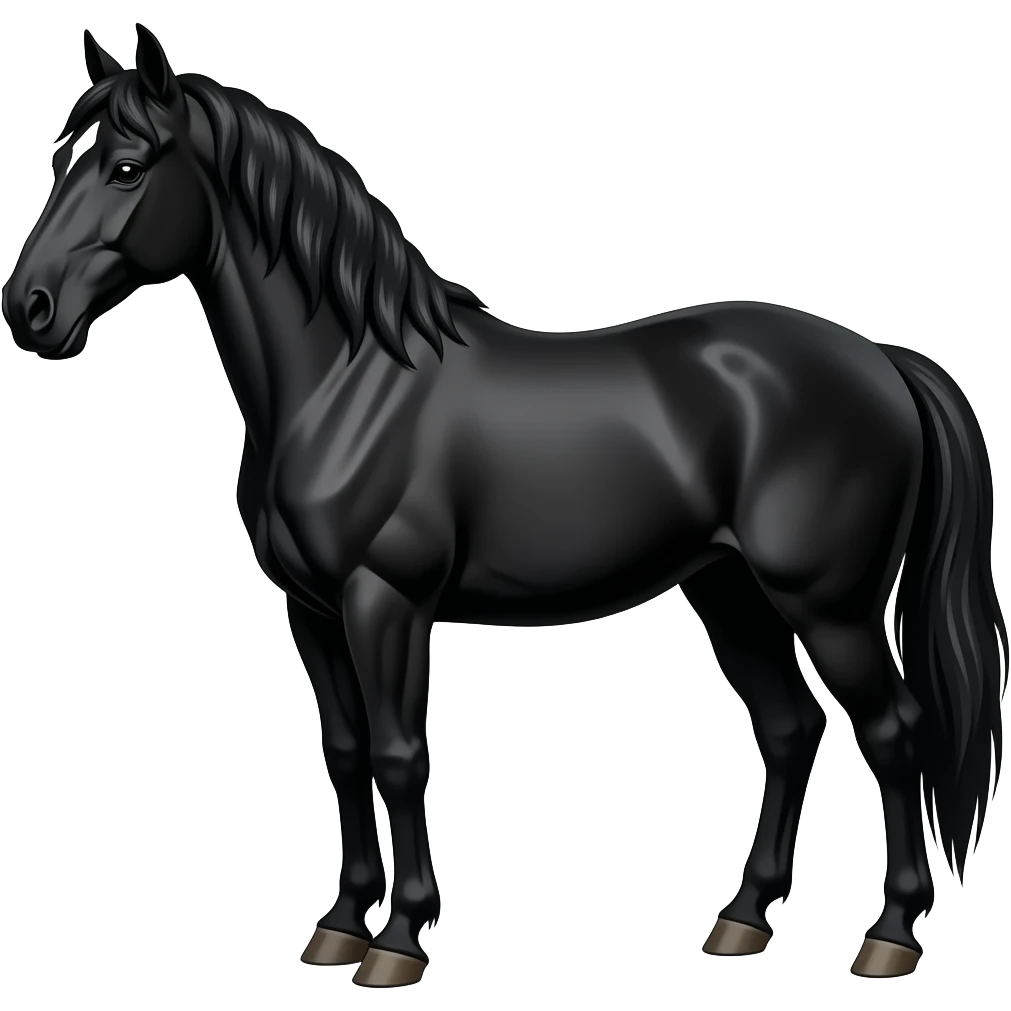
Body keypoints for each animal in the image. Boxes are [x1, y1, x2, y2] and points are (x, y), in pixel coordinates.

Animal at [3, 23, 1005, 988]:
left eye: (127, 166)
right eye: (58, 158)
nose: (29, 309)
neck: (349, 381)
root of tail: (881, 360)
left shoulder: (386, 602)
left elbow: (400, 754)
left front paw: (398, 941)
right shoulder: (312, 610)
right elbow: (345, 751)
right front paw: (338, 925)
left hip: (827, 603)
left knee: (892, 731)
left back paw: (888, 936)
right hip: (729, 591)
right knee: (791, 729)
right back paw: (740, 920)